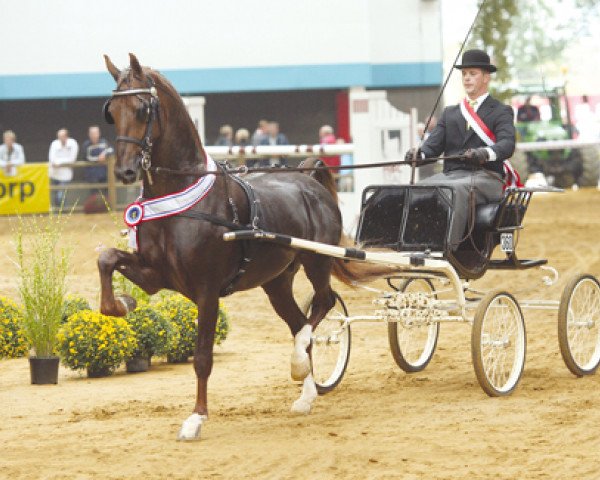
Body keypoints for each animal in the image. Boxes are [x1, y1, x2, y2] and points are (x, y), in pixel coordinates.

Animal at [99, 54, 366, 440]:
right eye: (111, 110)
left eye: (141, 108)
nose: (124, 171)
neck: (184, 198)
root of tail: (307, 180)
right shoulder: (155, 276)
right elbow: (106, 258)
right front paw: (120, 304)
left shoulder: (207, 291)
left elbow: (202, 358)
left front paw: (196, 418)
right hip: (276, 282)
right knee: (300, 321)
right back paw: (305, 393)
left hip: (317, 260)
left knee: (323, 305)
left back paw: (299, 361)